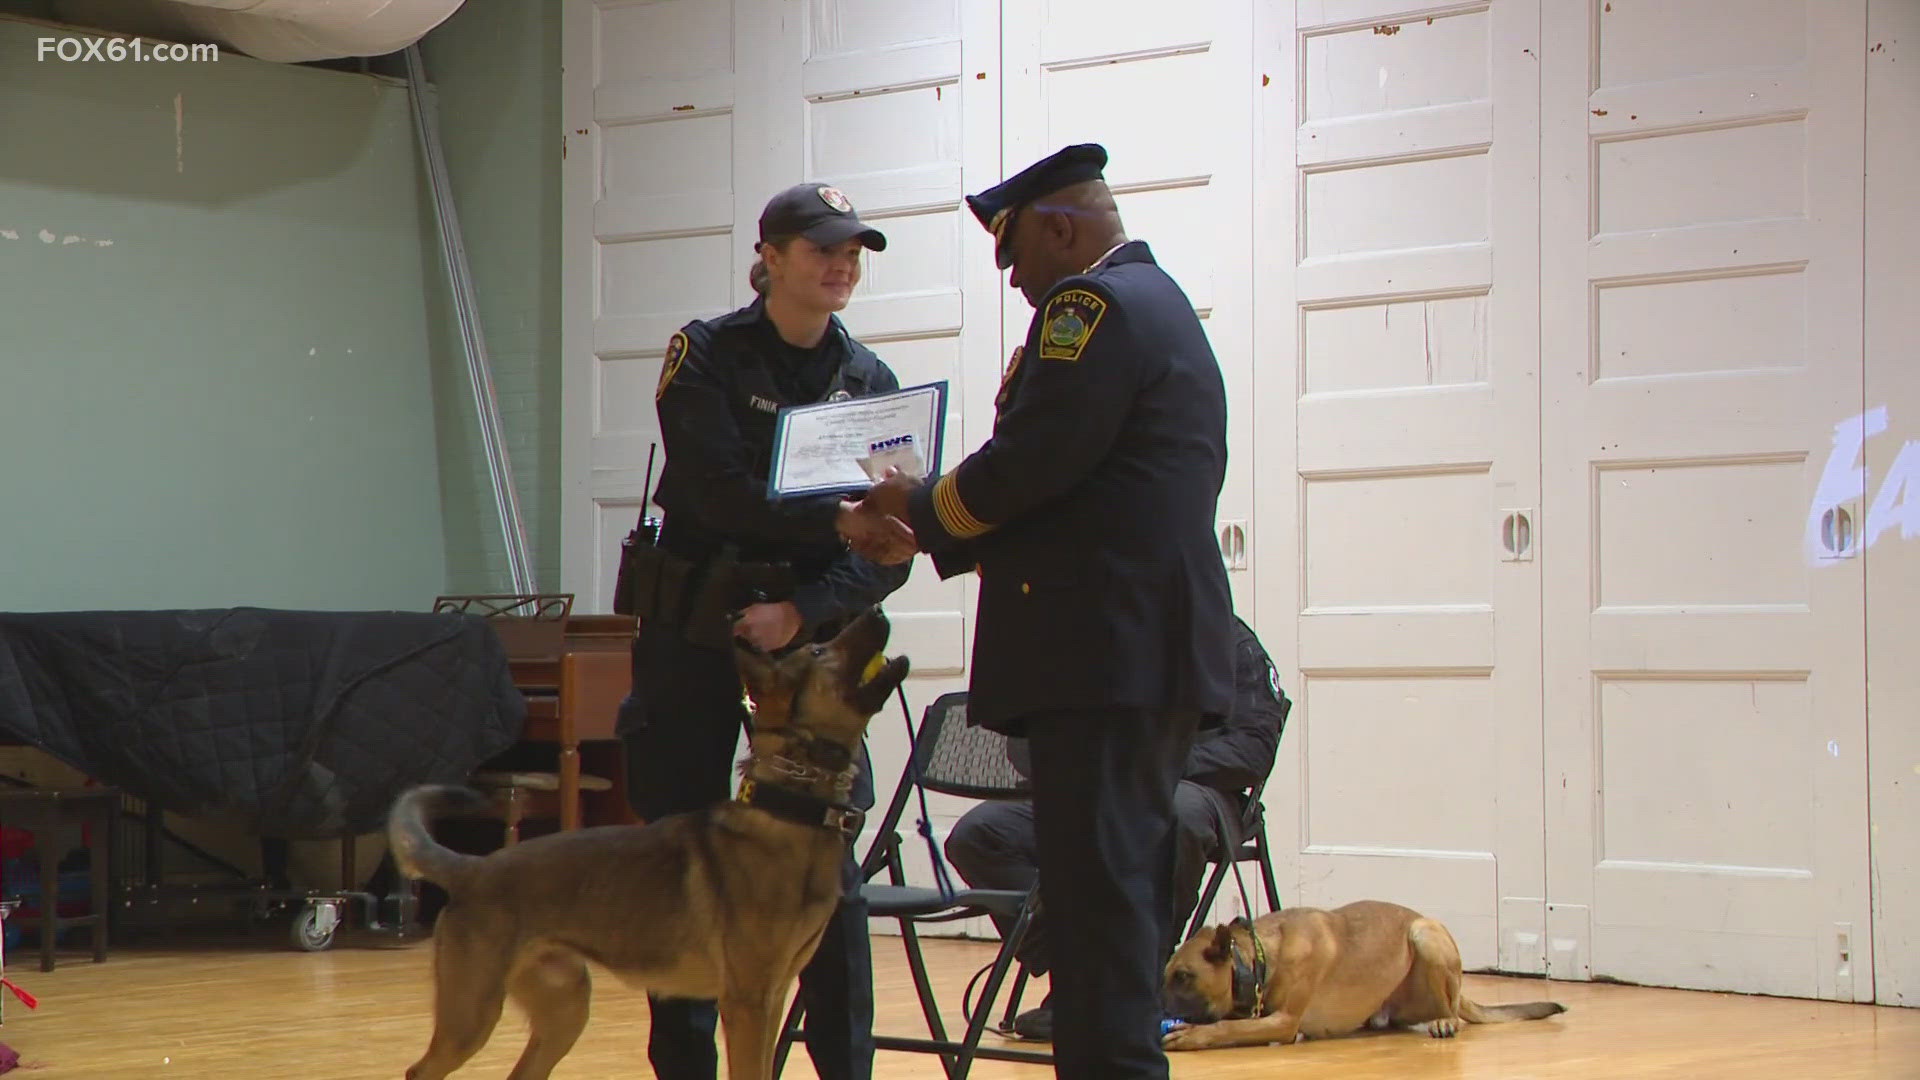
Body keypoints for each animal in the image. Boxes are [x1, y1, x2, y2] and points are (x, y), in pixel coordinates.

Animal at [385, 607, 910, 1076]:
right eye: (820, 650)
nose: (879, 610)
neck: (787, 811)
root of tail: (473, 868)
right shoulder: (748, 1002)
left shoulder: (774, 998)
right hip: (471, 1017)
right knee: (419, 1071)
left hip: (564, 1012)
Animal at [1159, 895, 1566, 1045]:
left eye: (1183, 977)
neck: (1258, 958)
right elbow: (1233, 1022)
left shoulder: (1285, 1021)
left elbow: (1227, 1027)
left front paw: (1193, 1035)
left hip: (1423, 935)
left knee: (1451, 1011)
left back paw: (1445, 1021)